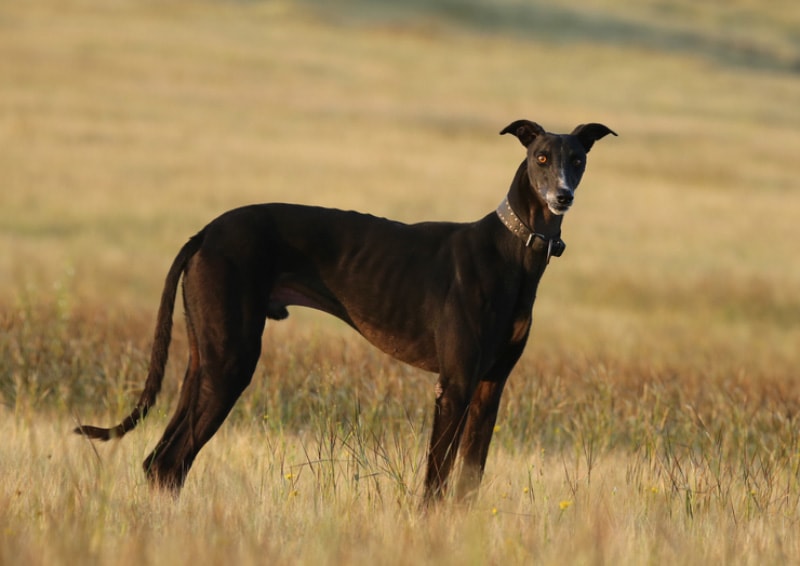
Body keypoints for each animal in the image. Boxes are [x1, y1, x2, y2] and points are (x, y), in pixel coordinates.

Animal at [75, 121, 616, 506]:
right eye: (540, 158)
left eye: (577, 159)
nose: (562, 196)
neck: (513, 250)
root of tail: (206, 231)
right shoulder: (455, 385)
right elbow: (435, 483)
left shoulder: (490, 387)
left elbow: (467, 484)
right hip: (230, 362)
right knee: (170, 462)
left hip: (204, 360)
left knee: (161, 464)